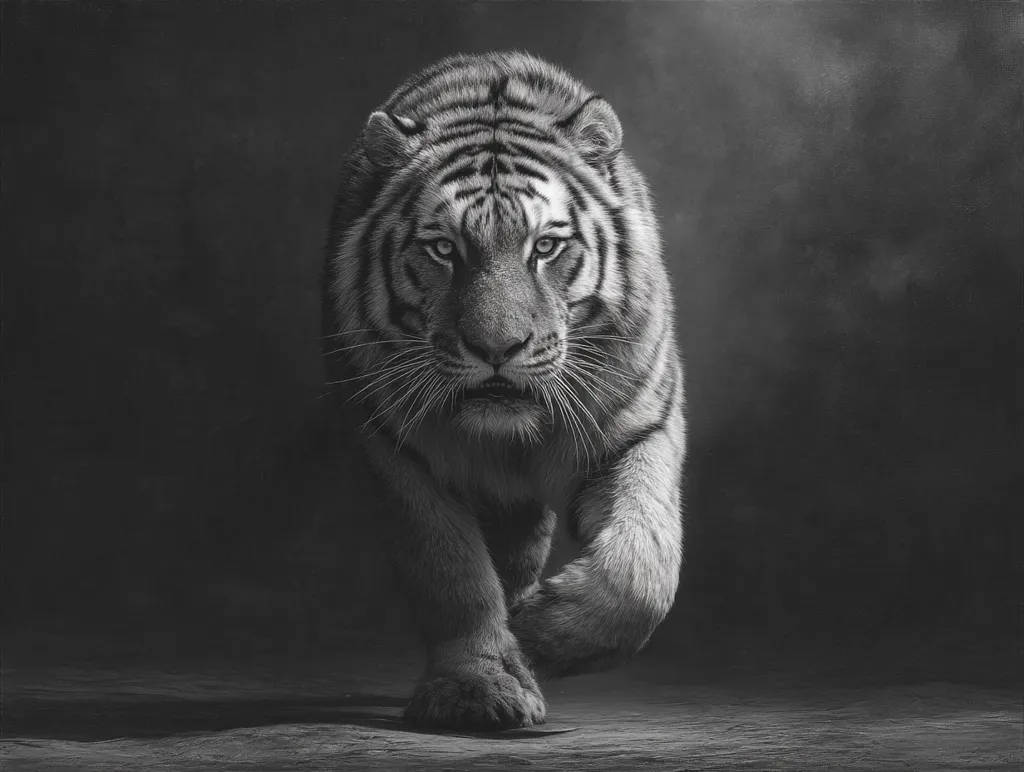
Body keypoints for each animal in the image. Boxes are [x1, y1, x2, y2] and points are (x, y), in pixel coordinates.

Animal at [322, 52, 685, 731]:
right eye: (443, 248)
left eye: (546, 246)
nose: (498, 349)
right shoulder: (397, 450)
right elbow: (451, 574)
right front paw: (476, 687)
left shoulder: (637, 430)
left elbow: (641, 570)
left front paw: (541, 635)